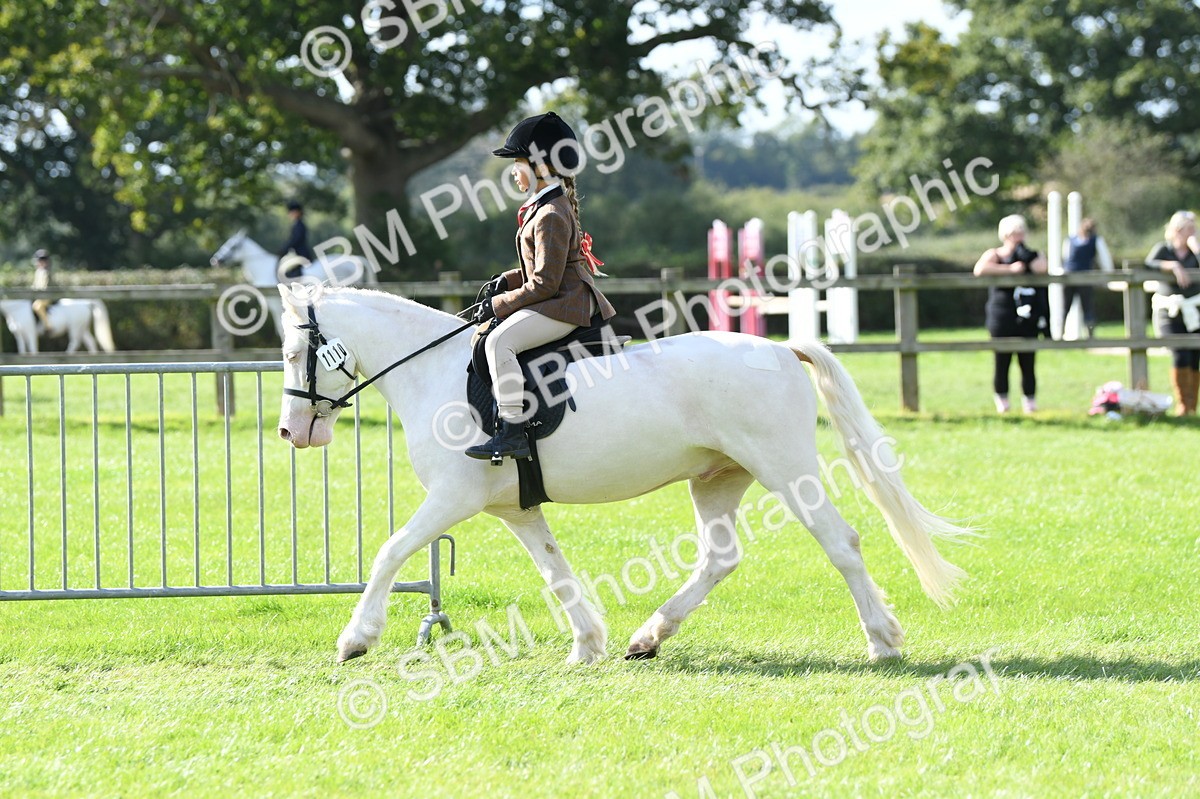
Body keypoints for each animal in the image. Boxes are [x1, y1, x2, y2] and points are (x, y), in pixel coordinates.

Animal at [274, 286, 970, 665]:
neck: (435, 371)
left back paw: (883, 640)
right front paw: (587, 644)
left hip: (785, 469)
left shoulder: (452, 497)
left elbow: (391, 551)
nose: (291, 431)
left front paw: (355, 640)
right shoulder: (513, 508)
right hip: (717, 479)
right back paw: (648, 637)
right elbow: (554, 570)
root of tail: (778, 347)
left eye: (294, 352)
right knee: (720, 558)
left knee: (841, 542)